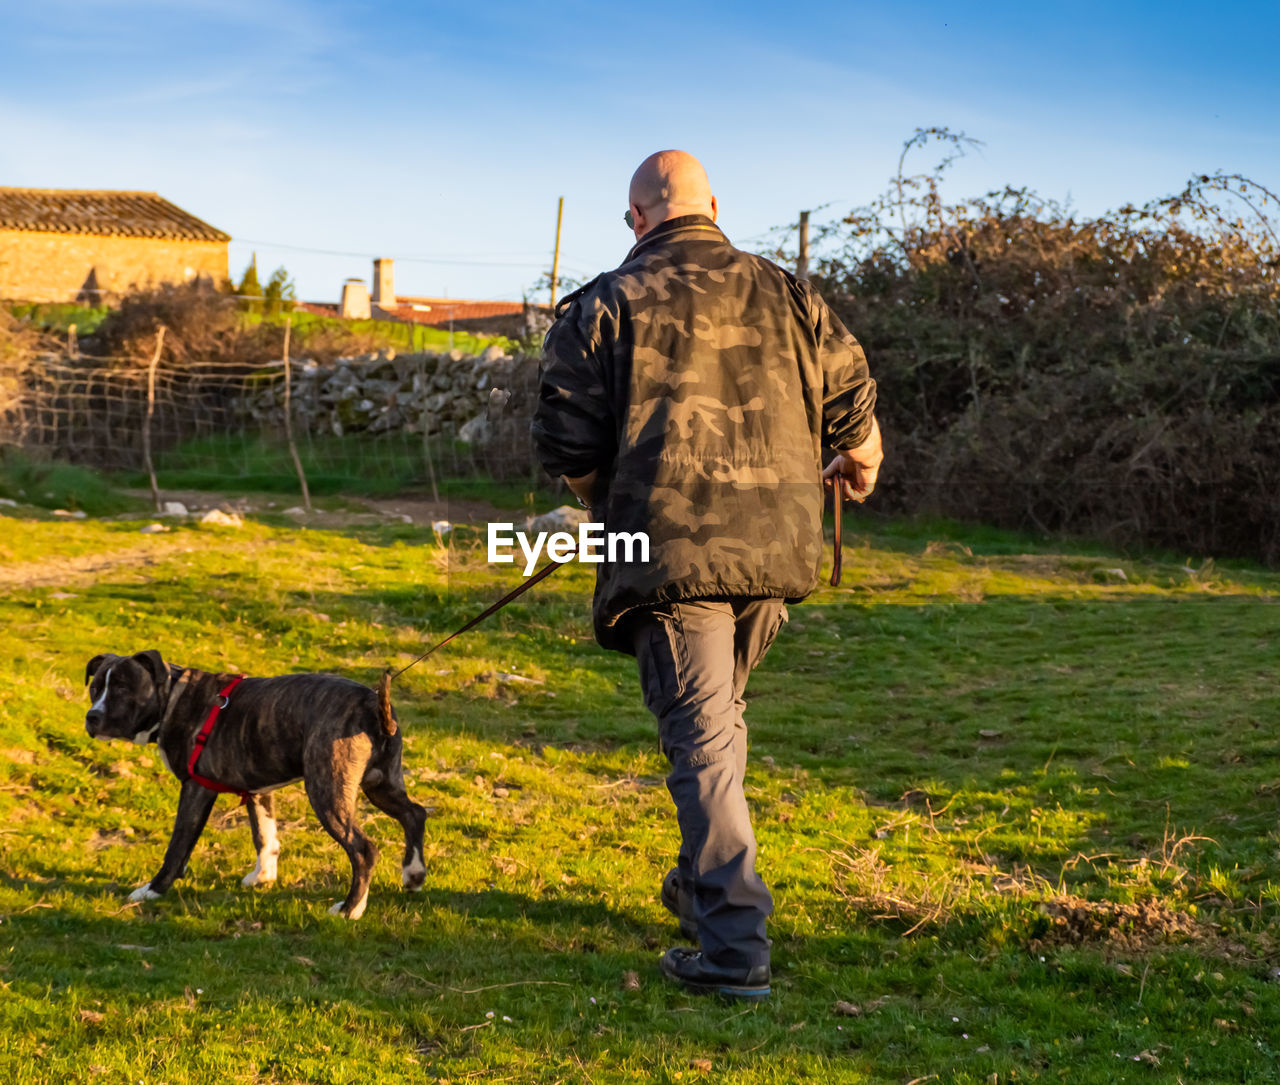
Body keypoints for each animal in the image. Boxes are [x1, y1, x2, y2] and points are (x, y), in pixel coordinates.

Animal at [82, 647, 427, 921]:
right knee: (415, 813)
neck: (171, 698)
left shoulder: (196, 789)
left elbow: (178, 846)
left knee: (363, 850)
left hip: (327, 790)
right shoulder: (257, 790)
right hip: (381, 784)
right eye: (95, 688)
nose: (91, 717)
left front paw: (154, 890)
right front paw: (263, 875)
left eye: (123, 688)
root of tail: (371, 702)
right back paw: (413, 874)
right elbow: (264, 833)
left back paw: (350, 909)